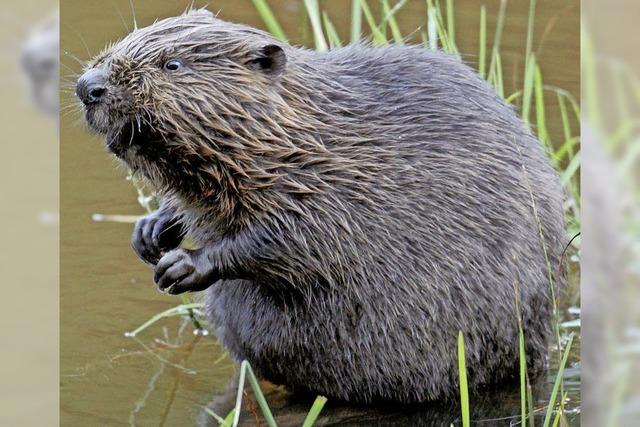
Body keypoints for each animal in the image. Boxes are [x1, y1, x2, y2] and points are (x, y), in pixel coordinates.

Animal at [76, 9, 564, 404]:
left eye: (173, 65)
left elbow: (294, 241)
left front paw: (181, 266)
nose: (88, 86)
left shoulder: (330, 188)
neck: (299, 134)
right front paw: (150, 232)